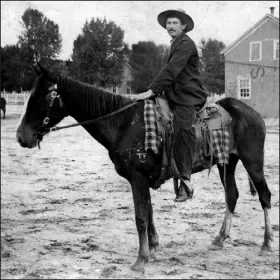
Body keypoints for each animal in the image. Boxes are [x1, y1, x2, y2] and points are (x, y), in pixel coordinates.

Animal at [15, 63, 274, 274]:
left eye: (43, 95)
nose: (21, 136)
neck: (123, 123)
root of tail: (251, 113)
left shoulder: (137, 178)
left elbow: (140, 217)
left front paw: (140, 260)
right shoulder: (142, 180)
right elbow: (148, 213)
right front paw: (153, 249)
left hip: (253, 162)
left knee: (265, 196)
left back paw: (267, 244)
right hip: (226, 163)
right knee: (232, 195)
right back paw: (220, 238)